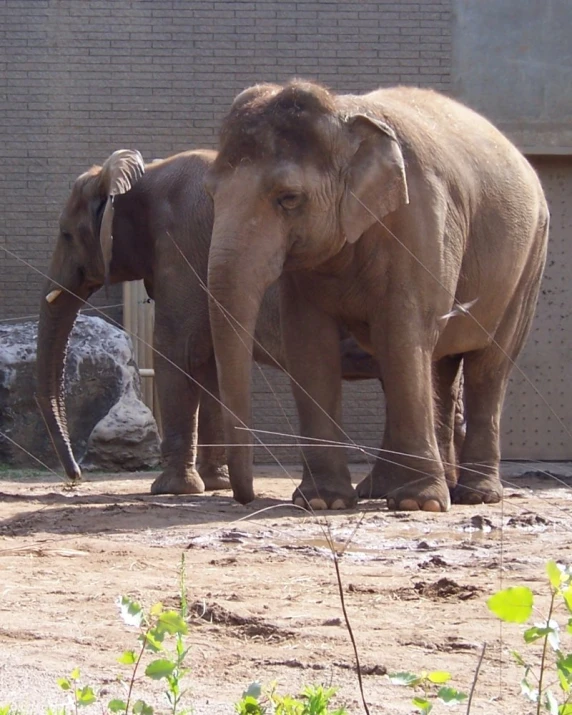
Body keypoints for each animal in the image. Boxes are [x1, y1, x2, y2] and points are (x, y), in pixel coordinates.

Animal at [35, 150, 384, 498]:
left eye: (66, 234)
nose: (76, 476)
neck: (145, 174)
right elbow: (211, 365)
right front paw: (216, 484)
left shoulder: (181, 250)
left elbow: (178, 353)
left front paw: (171, 489)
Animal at [206, 81, 548, 512]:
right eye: (212, 194)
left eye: (289, 198)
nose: (245, 499)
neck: (344, 115)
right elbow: (309, 345)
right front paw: (322, 502)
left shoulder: (420, 219)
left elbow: (401, 332)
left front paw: (419, 504)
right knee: (438, 366)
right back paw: (386, 489)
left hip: (529, 260)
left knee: (487, 367)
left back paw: (474, 495)